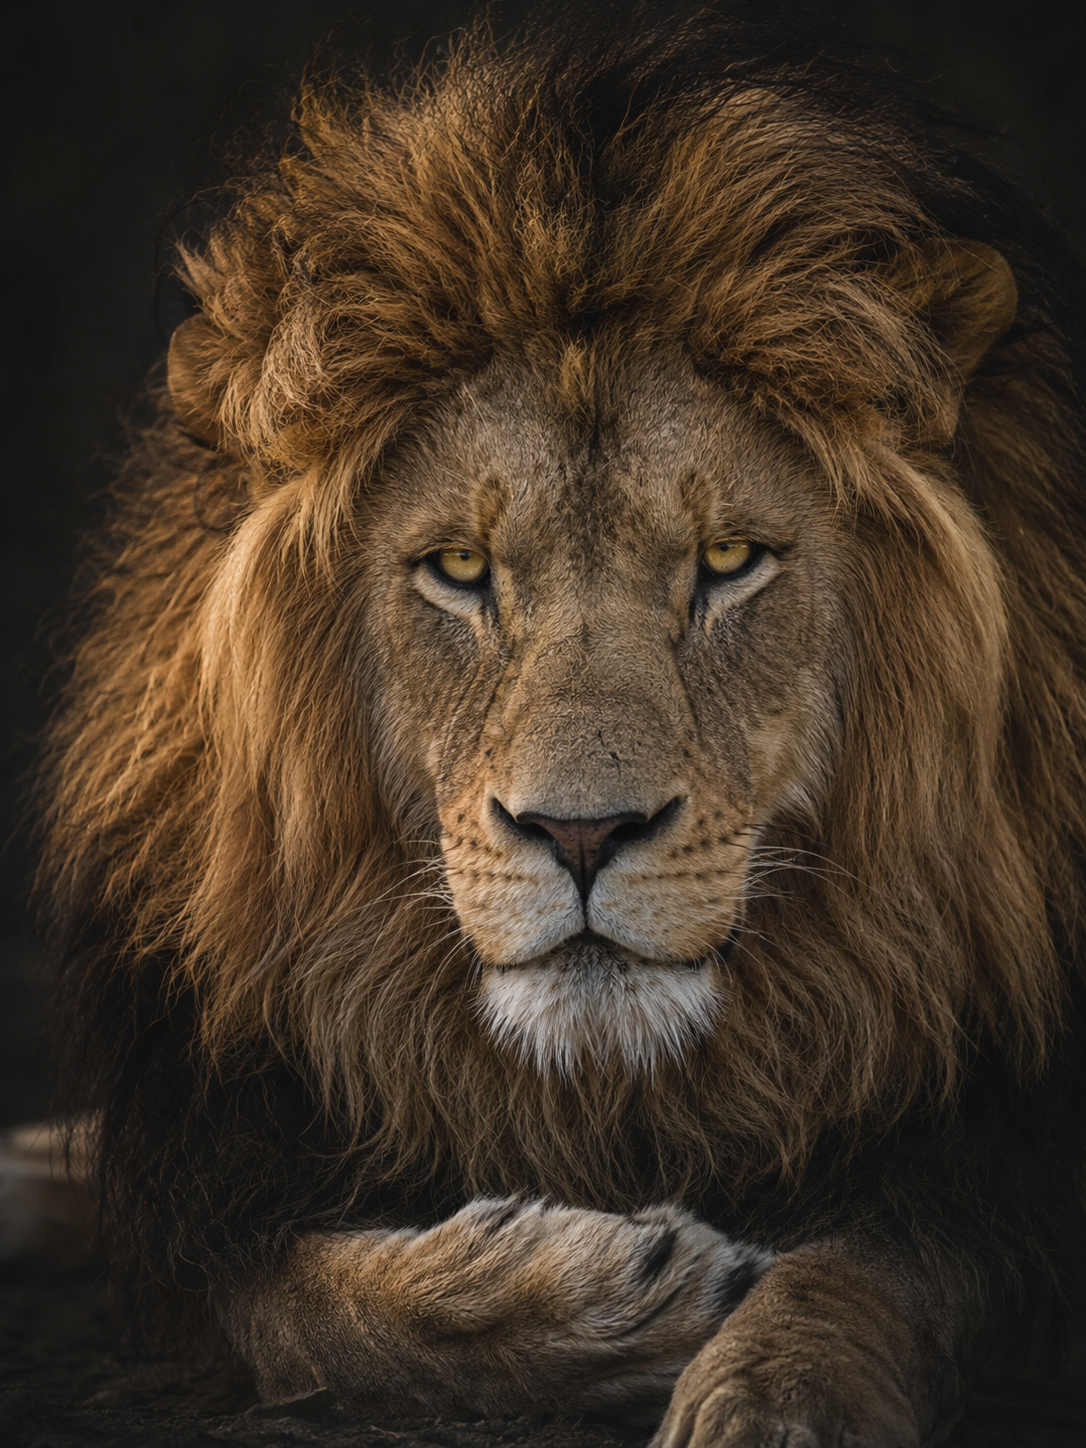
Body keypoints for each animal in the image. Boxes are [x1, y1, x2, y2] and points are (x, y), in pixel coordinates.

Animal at [25, 7, 1086, 1446]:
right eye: (460, 570)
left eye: (729, 558)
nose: (582, 835)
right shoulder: (208, 1189)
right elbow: (302, 1308)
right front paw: (623, 1296)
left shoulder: (998, 1169)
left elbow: (878, 1274)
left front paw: (768, 1389)